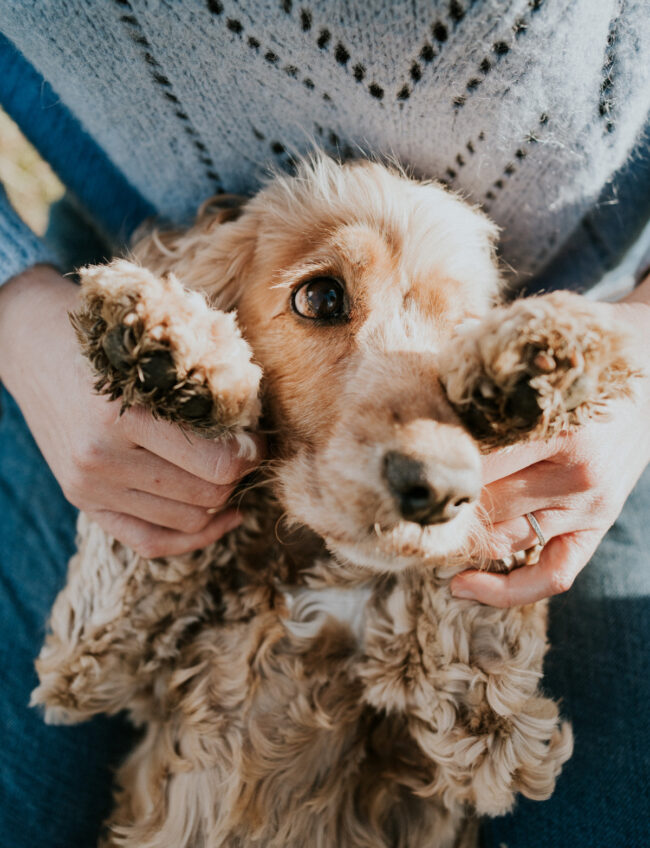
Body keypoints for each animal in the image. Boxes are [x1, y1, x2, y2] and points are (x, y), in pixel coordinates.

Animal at [33, 156, 636, 844]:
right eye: (320, 297)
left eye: (462, 332)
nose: (440, 491)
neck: (306, 567)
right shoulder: (81, 665)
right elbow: (142, 551)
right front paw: (171, 346)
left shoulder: (493, 745)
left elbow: (476, 629)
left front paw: (548, 357)